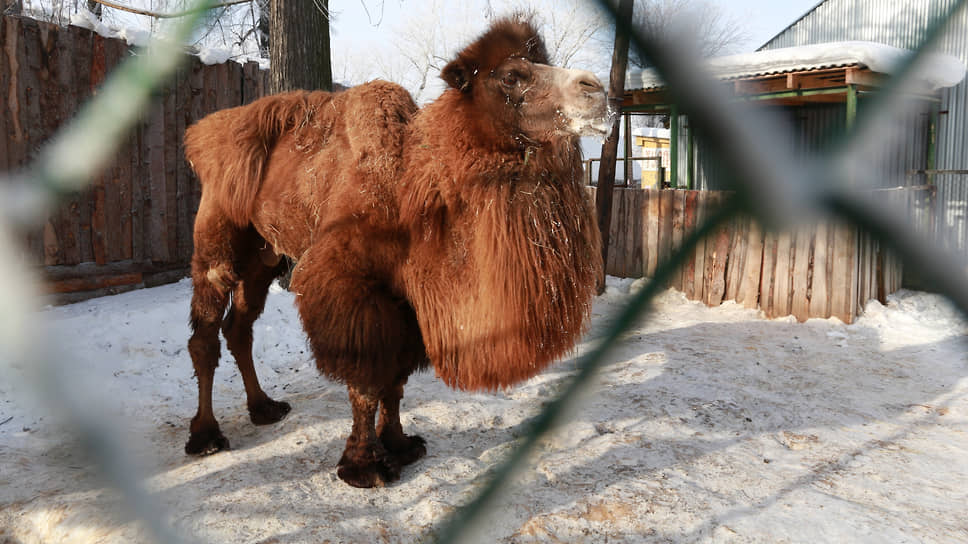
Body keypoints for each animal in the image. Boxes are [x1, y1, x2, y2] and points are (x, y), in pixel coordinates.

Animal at [183, 14, 604, 486]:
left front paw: (401, 446)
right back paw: (206, 436)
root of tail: (200, 136)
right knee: (205, 332)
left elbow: (397, 380)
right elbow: (367, 381)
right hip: (216, 237)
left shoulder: (408, 299)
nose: (595, 90)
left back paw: (264, 408)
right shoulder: (351, 287)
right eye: (512, 75)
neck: (412, 195)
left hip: (264, 255)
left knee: (240, 326)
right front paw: (363, 466)